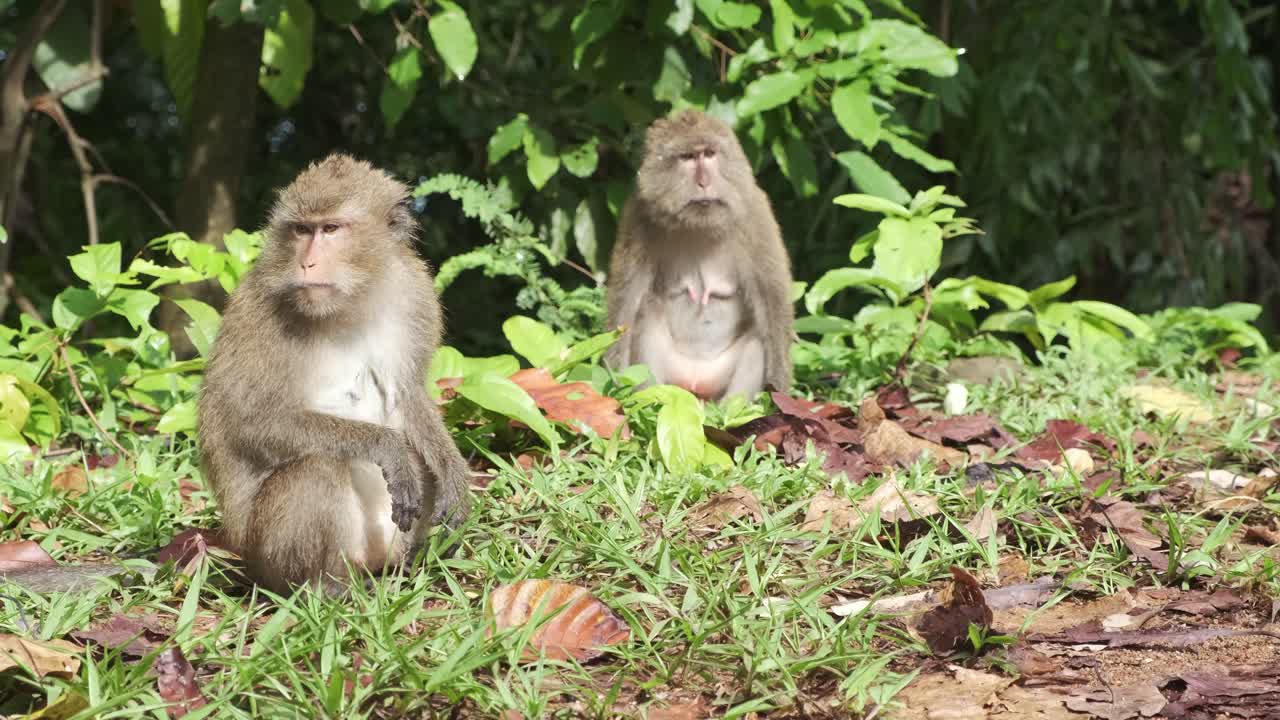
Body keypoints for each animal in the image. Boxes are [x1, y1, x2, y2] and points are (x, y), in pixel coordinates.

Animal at [196, 153, 471, 595]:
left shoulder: (414, 293)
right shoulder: (259, 312)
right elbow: (247, 421)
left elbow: (408, 393)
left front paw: (455, 475)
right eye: (301, 230)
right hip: (268, 557)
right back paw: (322, 589)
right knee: (317, 469)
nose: (306, 262)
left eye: (330, 229)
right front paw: (387, 447)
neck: (351, 303)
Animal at [605, 110, 794, 402]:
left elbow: (771, 300)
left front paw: (780, 390)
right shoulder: (638, 216)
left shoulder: (755, 213)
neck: (699, 225)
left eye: (709, 153)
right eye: (688, 157)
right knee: (647, 310)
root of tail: (696, 385)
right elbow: (627, 300)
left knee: (758, 338)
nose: (704, 182)